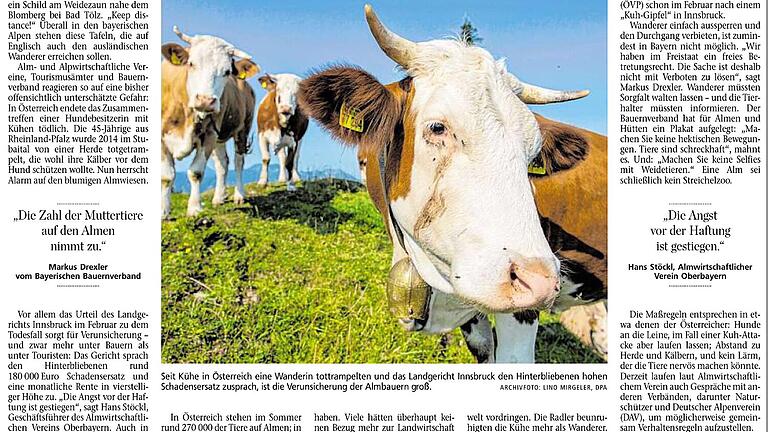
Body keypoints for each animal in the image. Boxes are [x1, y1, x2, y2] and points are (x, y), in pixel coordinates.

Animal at [160, 25, 260, 218]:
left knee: (238, 161)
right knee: (223, 163)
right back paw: (219, 197)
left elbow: (196, 172)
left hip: (242, 129)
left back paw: (239, 195)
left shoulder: (209, 134)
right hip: (220, 137)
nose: (206, 100)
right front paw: (164, 212)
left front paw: (194, 208)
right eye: (191, 63)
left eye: (227, 72)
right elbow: (167, 176)